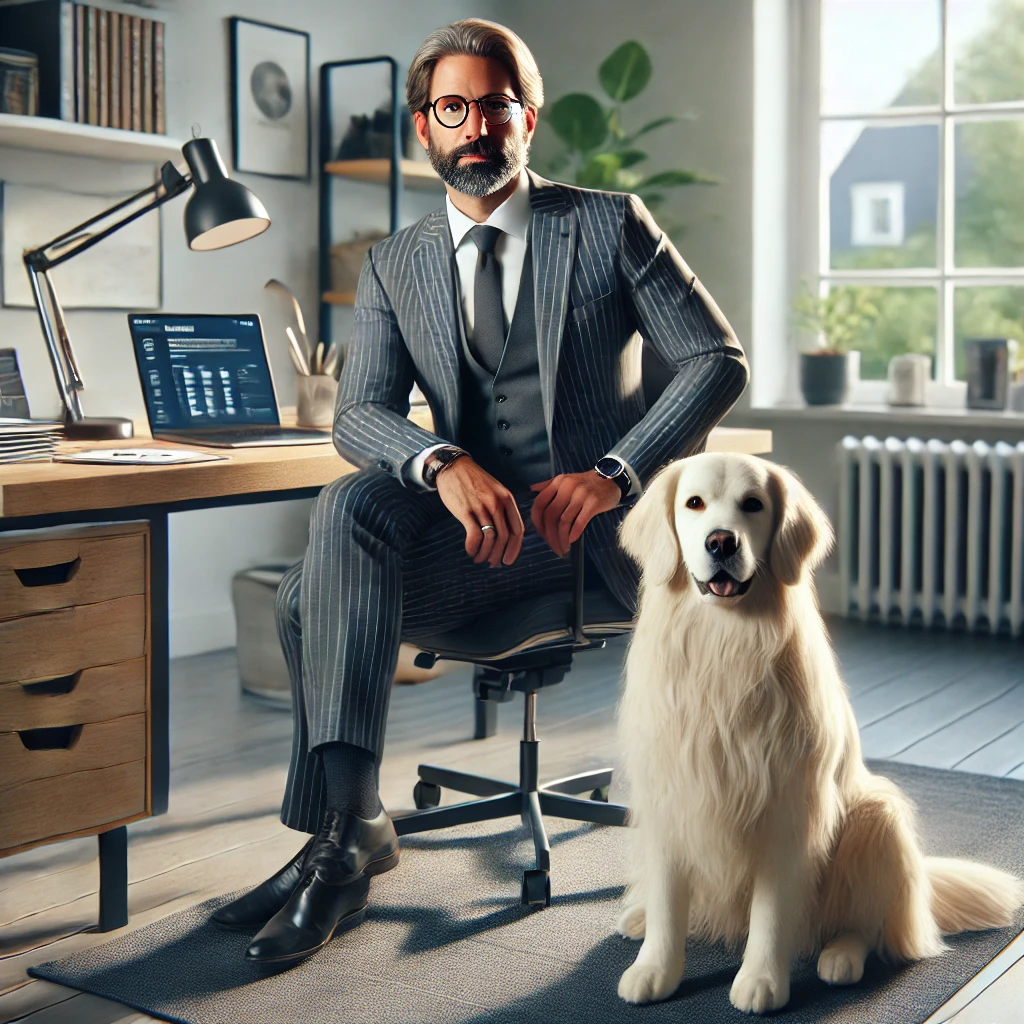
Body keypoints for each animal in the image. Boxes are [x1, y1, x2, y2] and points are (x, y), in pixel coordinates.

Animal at [610, 454, 1019, 1015]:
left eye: (753, 504)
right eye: (693, 503)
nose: (721, 542)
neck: (724, 645)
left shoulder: (788, 808)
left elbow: (771, 912)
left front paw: (761, 981)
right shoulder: (673, 799)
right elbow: (670, 905)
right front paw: (655, 969)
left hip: (876, 815)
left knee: (866, 925)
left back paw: (841, 956)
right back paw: (638, 917)